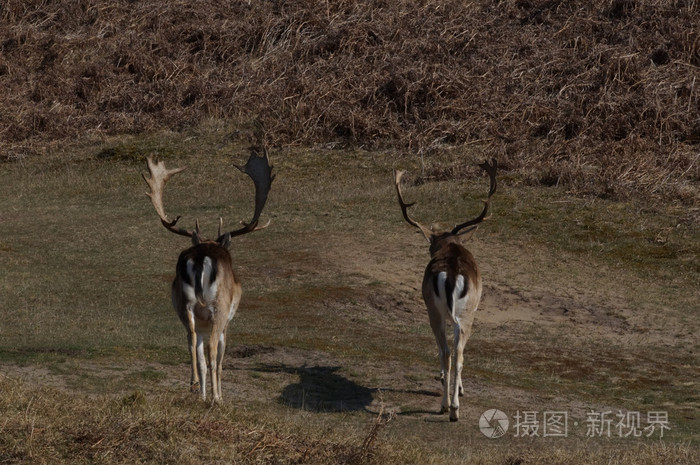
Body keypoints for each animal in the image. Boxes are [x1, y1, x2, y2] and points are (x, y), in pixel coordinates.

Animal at [143, 148, 274, 402]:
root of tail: (202, 257)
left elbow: (201, 357)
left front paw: (203, 395)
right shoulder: (226, 323)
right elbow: (219, 361)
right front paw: (218, 397)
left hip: (186, 306)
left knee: (191, 339)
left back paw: (194, 385)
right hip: (219, 307)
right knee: (213, 349)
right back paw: (212, 397)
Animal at [394, 159, 498, 420]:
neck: (451, 246)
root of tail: (451, 273)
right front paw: (457, 389)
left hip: (440, 312)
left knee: (449, 352)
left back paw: (448, 407)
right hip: (460, 313)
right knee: (454, 353)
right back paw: (451, 408)